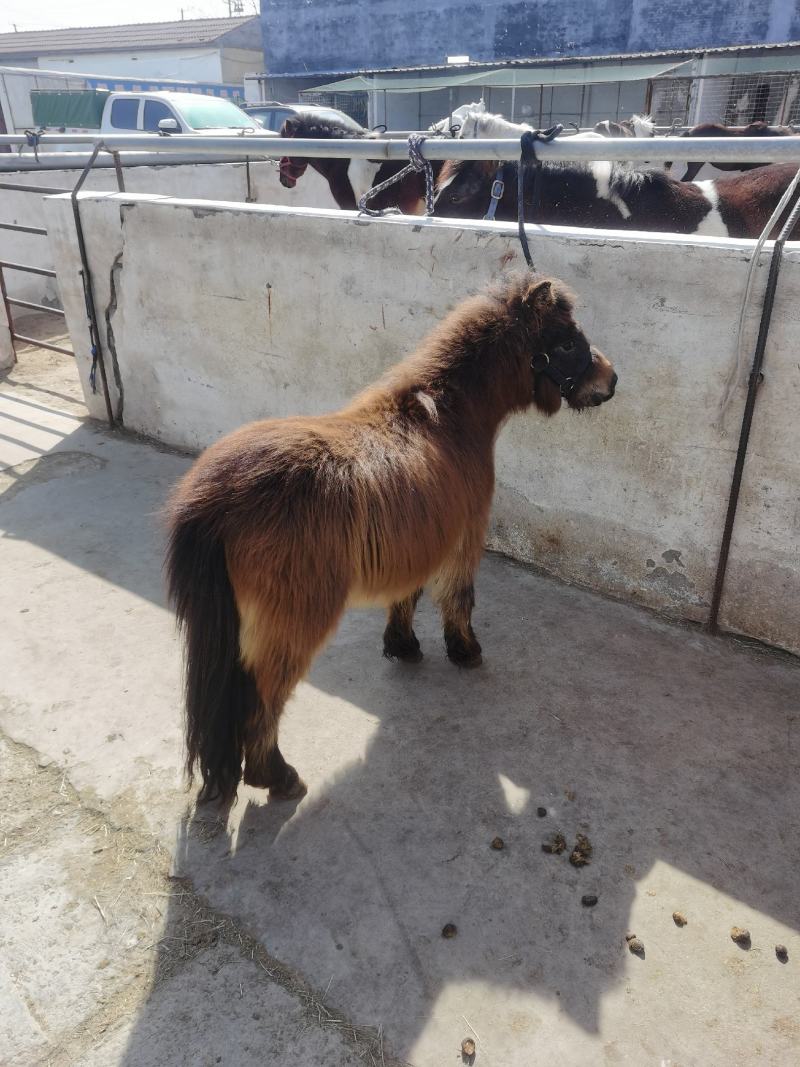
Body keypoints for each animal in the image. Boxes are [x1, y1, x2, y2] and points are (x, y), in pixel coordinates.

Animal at [165, 274, 617, 804]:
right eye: (565, 342)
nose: (610, 380)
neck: (446, 419)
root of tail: (216, 497)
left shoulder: (419, 540)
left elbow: (407, 595)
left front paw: (402, 645)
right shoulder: (463, 537)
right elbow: (458, 597)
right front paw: (464, 651)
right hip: (291, 624)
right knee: (261, 703)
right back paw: (278, 777)